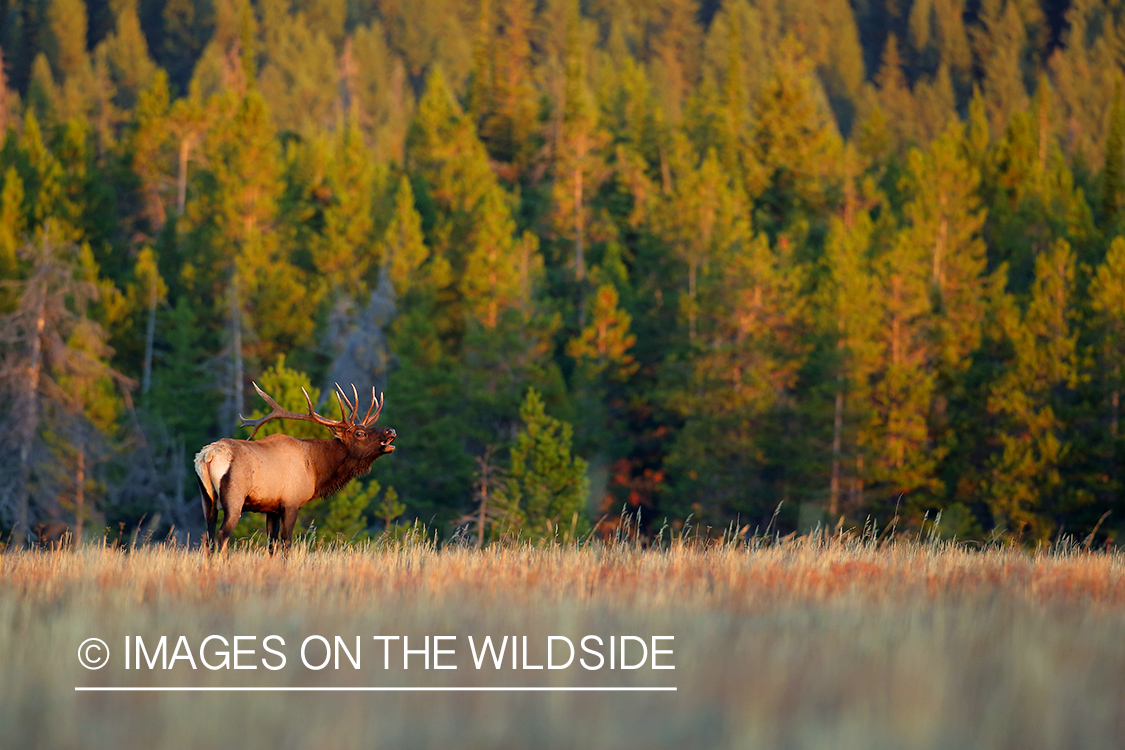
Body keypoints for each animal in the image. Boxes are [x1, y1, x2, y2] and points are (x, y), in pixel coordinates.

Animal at [195, 384, 398, 555]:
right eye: (359, 433)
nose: (391, 430)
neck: (316, 471)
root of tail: (208, 456)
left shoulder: (272, 508)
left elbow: (272, 544)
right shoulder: (291, 502)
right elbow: (286, 543)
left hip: (207, 499)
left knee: (209, 537)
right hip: (234, 498)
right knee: (222, 534)